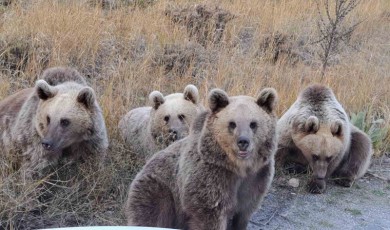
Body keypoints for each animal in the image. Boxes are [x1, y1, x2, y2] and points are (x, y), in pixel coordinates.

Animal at [125, 87, 278, 229]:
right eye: (232, 123)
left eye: (253, 124)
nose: (243, 142)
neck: (238, 167)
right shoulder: (211, 178)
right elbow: (210, 214)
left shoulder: (256, 179)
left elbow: (242, 214)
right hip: (160, 190)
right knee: (151, 214)